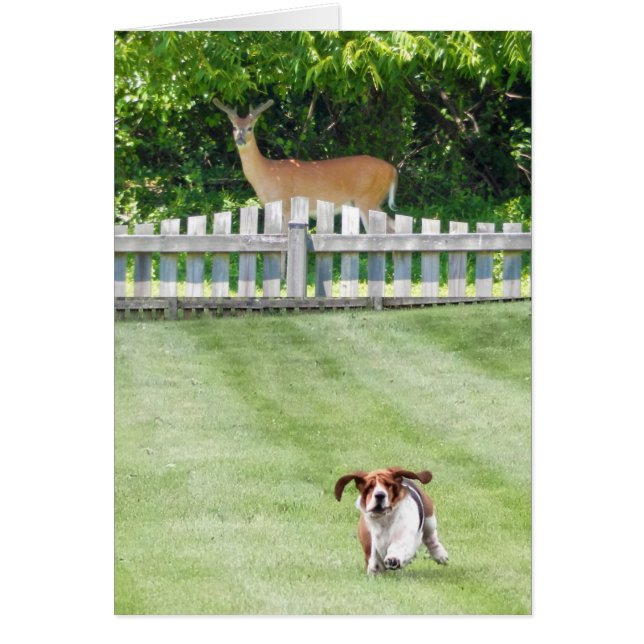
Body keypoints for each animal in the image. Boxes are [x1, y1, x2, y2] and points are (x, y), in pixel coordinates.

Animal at [213, 98, 398, 233]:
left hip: (367, 197)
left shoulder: (286, 203)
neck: (266, 172)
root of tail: (393, 170)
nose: (240, 139)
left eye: (250, 128)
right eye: (234, 127)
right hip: (372, 200)